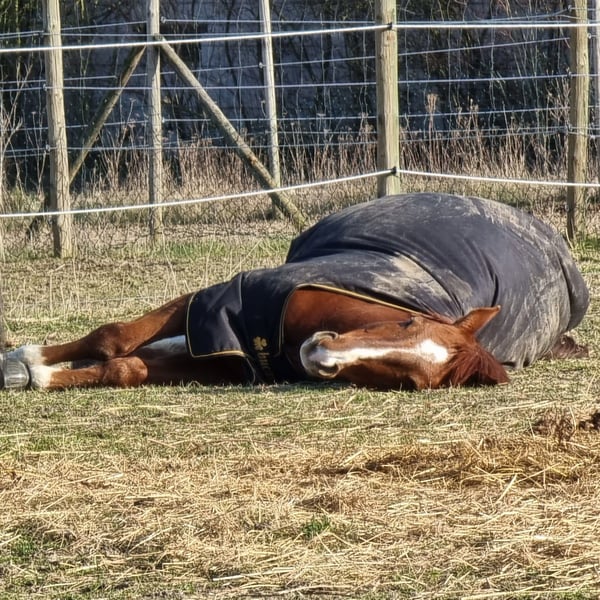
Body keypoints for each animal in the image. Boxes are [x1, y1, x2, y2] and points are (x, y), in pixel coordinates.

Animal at [0, 193, 589, 392]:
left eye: (412, 380)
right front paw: (26, 359)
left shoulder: (224, 360)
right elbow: (114, 335)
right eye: (407, 321)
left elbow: (126, 366)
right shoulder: (216, 299)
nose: (322, 354)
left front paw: (45, 376)